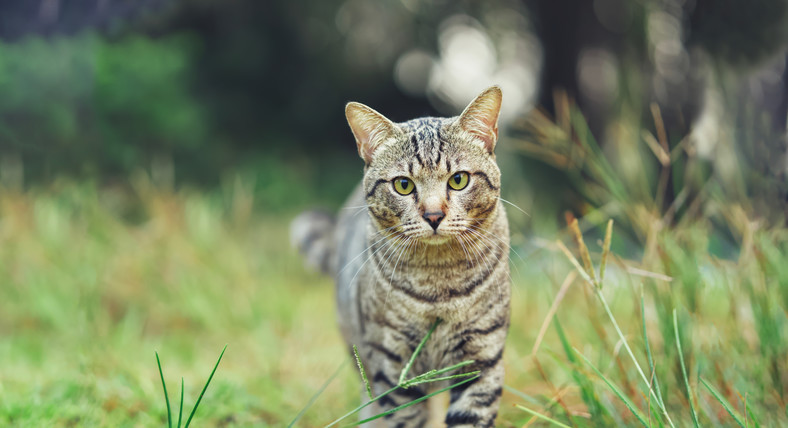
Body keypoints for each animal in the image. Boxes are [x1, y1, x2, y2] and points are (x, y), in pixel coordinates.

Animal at [290, 85, 510, 426]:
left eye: (458, 180)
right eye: (403, 185)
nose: (433, 215)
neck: (439, 282)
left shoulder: (481, 358)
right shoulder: (394, 367)